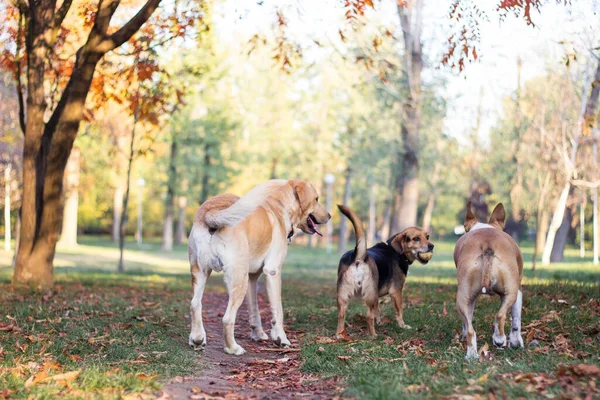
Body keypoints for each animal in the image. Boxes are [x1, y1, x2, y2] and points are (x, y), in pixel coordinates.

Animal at [336, 205, 434, 340]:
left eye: (427, 237)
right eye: (416, 239)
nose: (432, 246)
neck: (396, 252)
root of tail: (358, 257)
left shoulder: (377, 295)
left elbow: (377, 311)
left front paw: (379, 322)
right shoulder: (396, 291)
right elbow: (399, 312)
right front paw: (403, 326)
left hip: (343, 297)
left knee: (341, 316)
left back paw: (339, 335)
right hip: (370, 296)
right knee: (368, 317)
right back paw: (373, 336)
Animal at [454, 202, 524, 360]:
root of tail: (488, 243)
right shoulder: (518, 292)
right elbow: (516, 319)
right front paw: (516, 342)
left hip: (463, 298)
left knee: (470, 329)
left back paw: (471, 354)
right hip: (511, 292)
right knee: (500, 315)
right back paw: (499, 339)